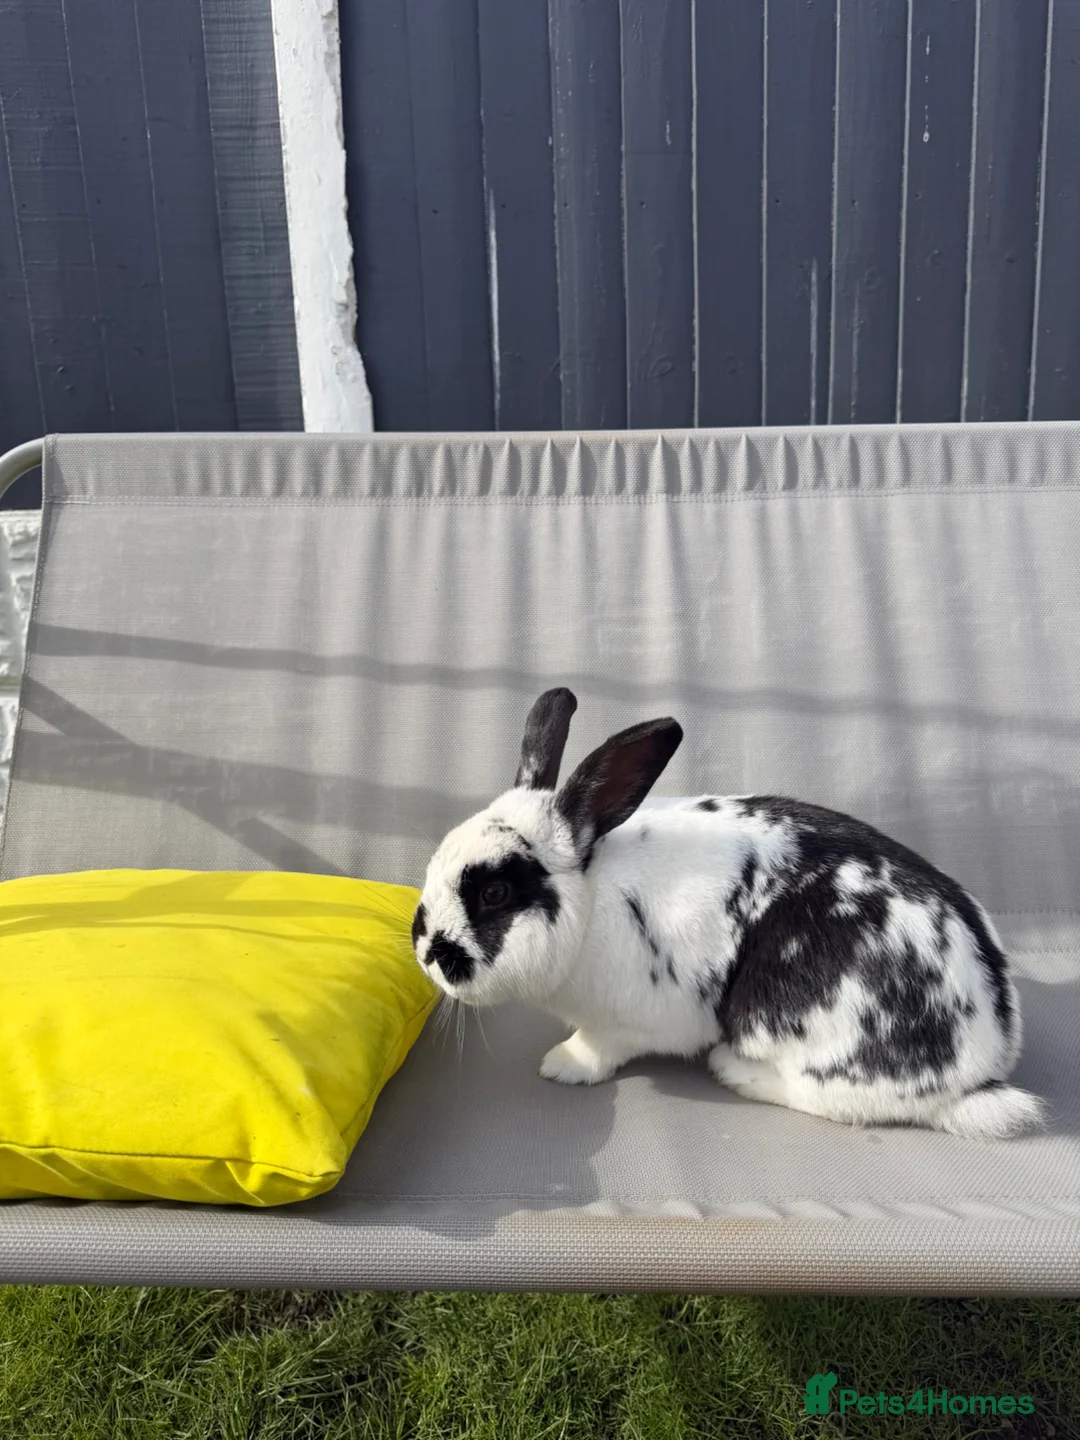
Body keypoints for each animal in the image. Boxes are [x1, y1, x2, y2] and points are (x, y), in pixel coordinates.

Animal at [411, 688, 1045, 1139]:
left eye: (495, 893)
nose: (427, 950)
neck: (590, 899)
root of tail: (981, 1067)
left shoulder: (626, 1020)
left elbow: (598, 1047)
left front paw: (562, 1065)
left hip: (794, 1024)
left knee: (839, 1099)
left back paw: (733, 1068)